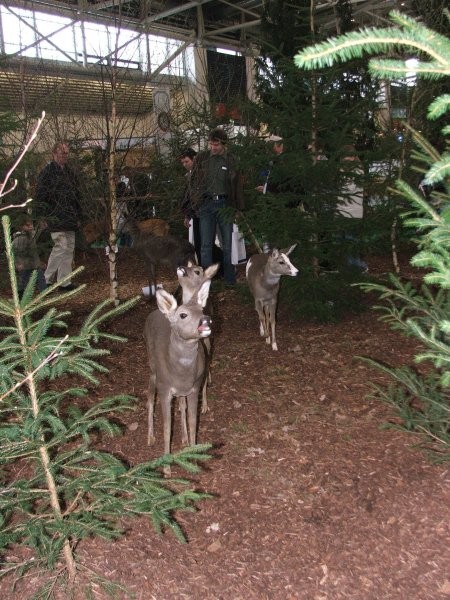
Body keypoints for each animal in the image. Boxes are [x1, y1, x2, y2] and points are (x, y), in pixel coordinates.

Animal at [145, 278, 214, 476]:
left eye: (202, 311)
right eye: (183, 315)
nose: (206, 320)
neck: (180, 373)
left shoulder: (194, 388)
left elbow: (193, 421)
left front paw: (193, 455)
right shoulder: (164, 388)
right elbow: (167, 427)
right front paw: (166, 467)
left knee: (181, 406)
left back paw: (183, 438)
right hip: (152, 369)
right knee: (149, 398)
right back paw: (150, 437)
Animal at [176, 262, 220, 412]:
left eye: (197, 271)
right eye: (188, 266)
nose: (181, 267)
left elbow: (203, 383)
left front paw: (204, 406)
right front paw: (181, 406)